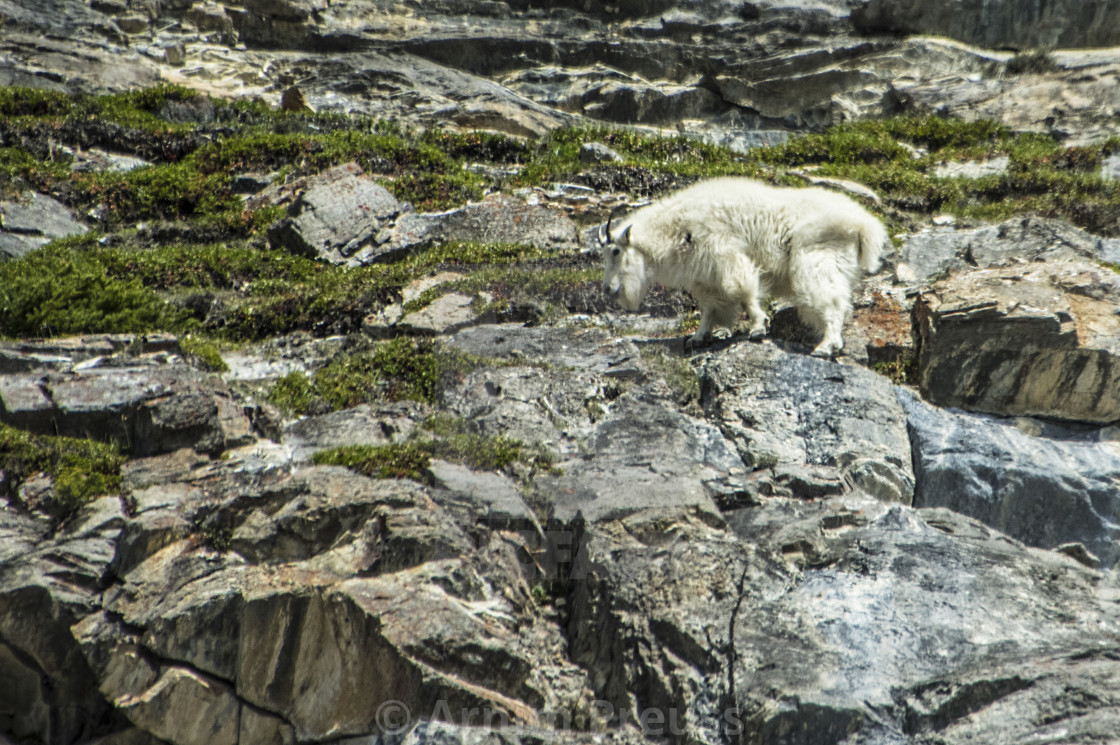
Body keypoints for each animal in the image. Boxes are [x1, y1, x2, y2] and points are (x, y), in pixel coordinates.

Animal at [600, 177, 887, 358]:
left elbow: (743, 291)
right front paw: (698, 338)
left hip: (817, 262)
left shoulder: (726, 254)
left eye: (615, 251)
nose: (608, 289)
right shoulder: (704, 279)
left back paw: (827, 346)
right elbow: (710, 310)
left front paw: (759, 327)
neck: (676, 230)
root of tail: (864, 226)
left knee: (831, 303)